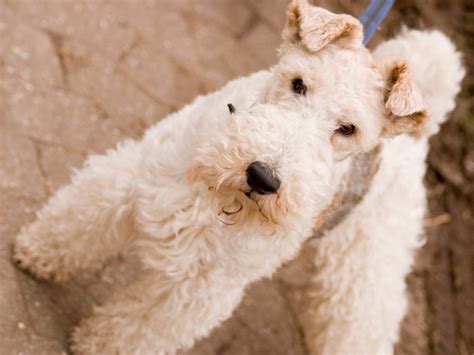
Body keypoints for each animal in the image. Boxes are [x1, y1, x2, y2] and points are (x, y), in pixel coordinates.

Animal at [12, 1, 464, 354]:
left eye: (348, 129)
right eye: (298, 83)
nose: (263, 177)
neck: (219, 199)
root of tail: (416, 136)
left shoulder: (204, 287)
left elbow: (139, 325)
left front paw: (97, 343)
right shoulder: (133, 180)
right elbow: (79, 223)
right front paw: (40, 253)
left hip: (365, 276)